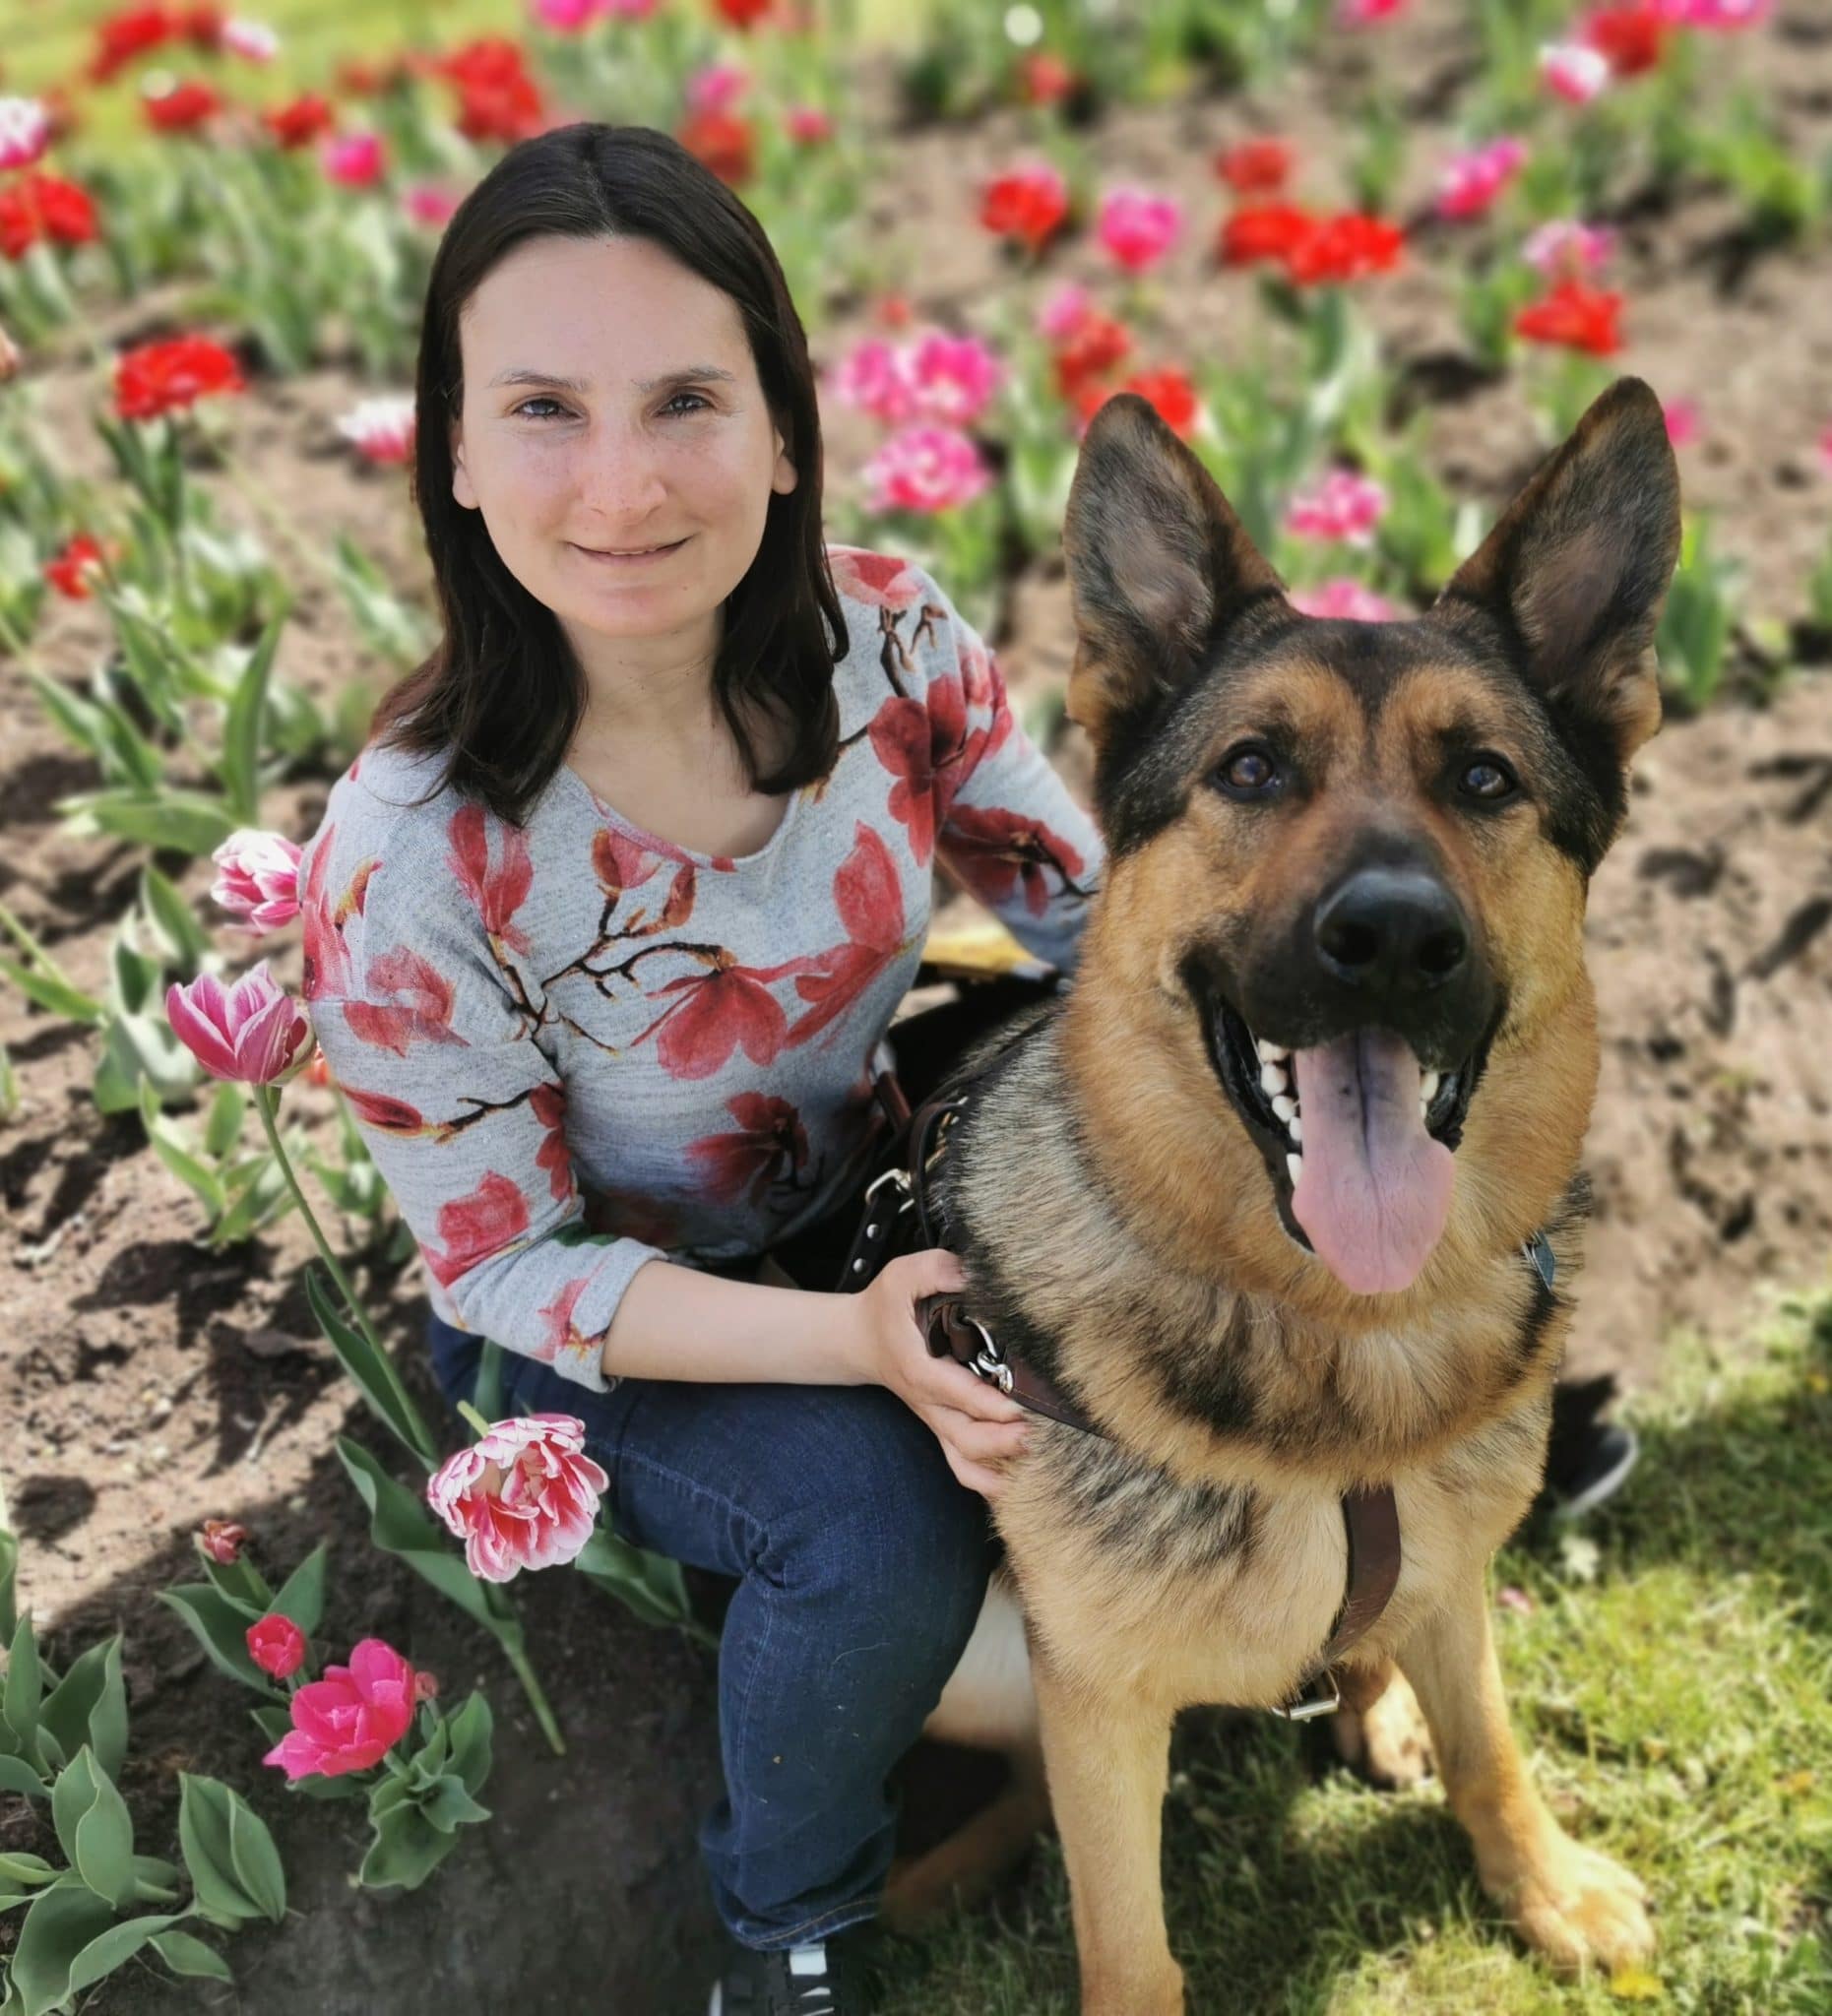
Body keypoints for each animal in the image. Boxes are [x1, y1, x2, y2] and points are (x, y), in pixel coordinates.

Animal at [878, 374, 1676, 1999]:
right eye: (1251, 769)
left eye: (1483, 780)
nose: (1393, 939)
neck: (1336, 1324)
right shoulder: (1092, 1691)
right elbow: (1126, 1947)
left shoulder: (1447, 1573)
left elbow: (1493, 1744)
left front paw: (1540, 1883)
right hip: (981, 1658)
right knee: (1018, 1782)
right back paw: (936, 1877)